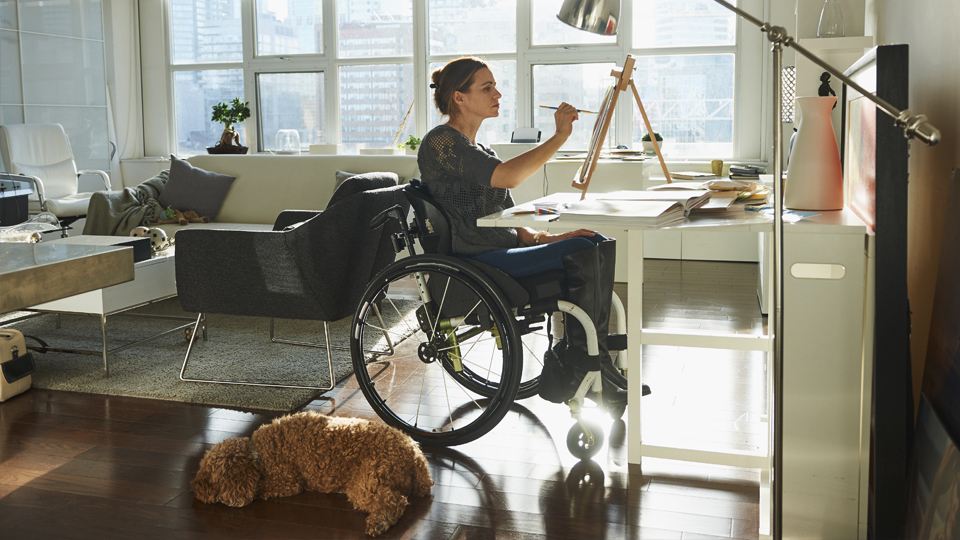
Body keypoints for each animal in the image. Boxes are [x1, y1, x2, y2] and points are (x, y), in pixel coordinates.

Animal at [191, 414, 432, 536]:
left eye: (211, 478)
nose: (194, 489)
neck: (257, 453)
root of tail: (415, 453)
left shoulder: (287, 481)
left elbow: (261, 488)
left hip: (366, 481)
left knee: (395, 500)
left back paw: (380, 522)